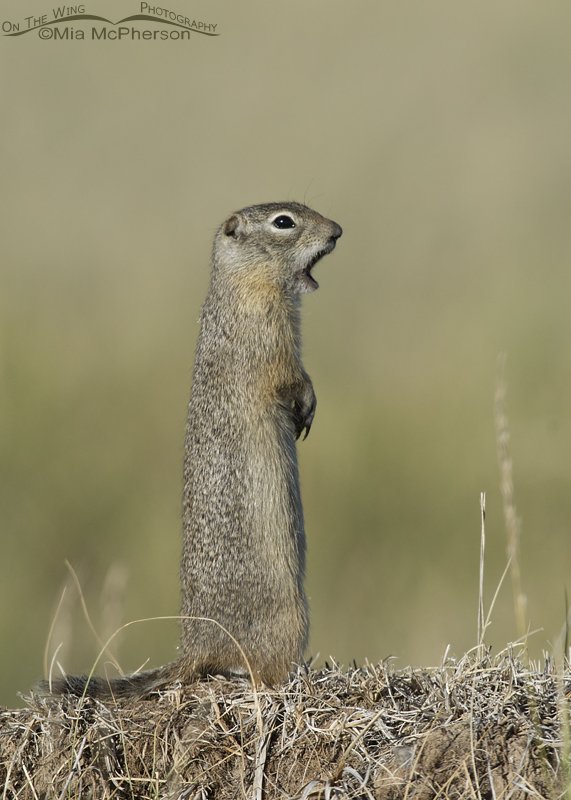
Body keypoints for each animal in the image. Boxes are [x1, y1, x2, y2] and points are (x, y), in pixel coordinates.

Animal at [38, 201, 342, 698]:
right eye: (283, 222)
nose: (338, 231)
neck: (241, 285)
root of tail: (196, 648)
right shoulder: (269, 335)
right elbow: (289, 375)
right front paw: (308, 405)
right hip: (291, 619)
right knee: (262, 672)